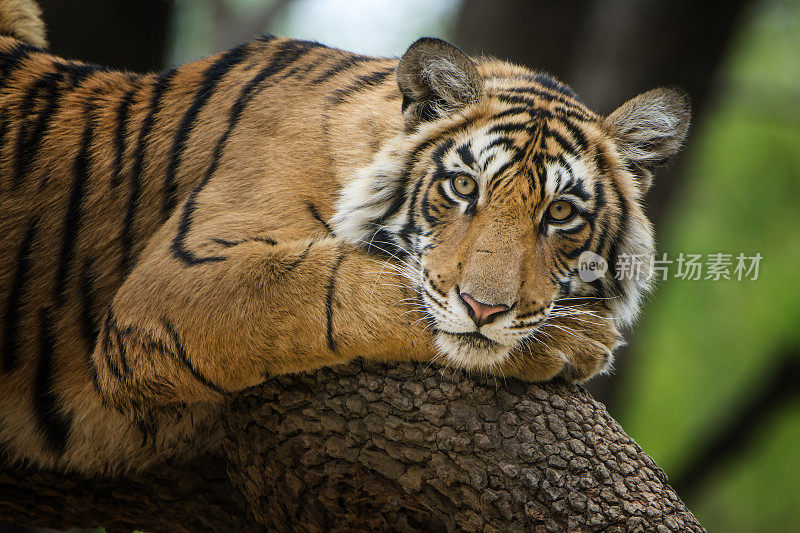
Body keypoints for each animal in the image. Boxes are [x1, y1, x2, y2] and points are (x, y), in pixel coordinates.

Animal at [0, 1, 688, 474]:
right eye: (464, 186)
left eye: (562, 213)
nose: (485, 308)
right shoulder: (174, 282)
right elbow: (342, 287)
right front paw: (575, 341)